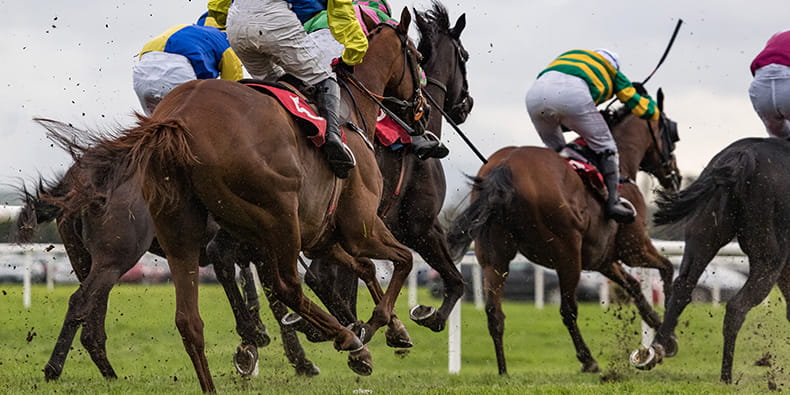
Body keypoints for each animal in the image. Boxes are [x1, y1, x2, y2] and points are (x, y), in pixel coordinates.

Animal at [59, 10, 426, 392]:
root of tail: (176, 119)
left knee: (188, 319)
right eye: (416, 56)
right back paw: (342, 337)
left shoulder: (321, 237)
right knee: (285, 286)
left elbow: (365, 268)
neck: (349, 112)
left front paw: (395, 331)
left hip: (178, 230)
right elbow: (401, 260)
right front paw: (370, 328)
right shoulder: (360, 227)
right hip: (273, 219)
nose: (423, 109)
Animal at [304, 0, 474, 334]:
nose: (466, 104)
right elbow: (456, 280)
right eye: (465, 56)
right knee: (317, 275)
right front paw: (428, 317)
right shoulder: (422, 227)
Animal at [448, 91, 684, 376]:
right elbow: (667, 267)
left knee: (495, 311)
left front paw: (662, 336)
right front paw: (666, 332)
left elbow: (634, 285)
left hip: (494, 256)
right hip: (567, 255)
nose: (676, 177)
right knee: (567, 310)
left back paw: (503, 371)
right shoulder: (633, 246)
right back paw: (588, 359)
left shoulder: (603, 259)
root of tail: (505, 168)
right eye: (671, 134)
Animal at [636, 137, 790, 384]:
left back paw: (656, 349)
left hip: (703, 234)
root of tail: (742, 155)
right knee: (737, 307)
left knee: (683, 287)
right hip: (769, 257)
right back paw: (726, 377)